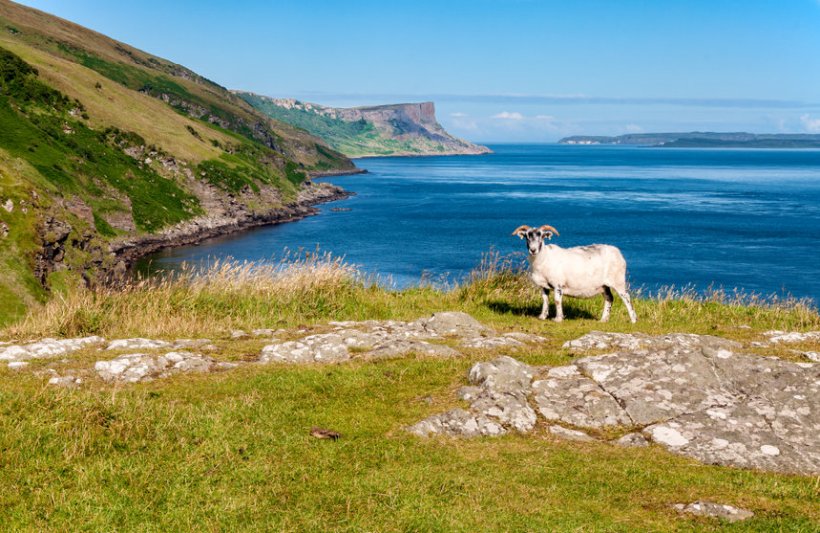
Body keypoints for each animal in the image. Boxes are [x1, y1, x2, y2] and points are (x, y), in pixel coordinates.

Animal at [512, 223, 640, 322]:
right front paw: (542, 316)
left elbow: (557, 301)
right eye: (527, 236)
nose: (533, 250)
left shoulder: (558, 284)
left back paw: (633, 320)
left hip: (618, 280)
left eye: (542, 236)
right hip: (603, 285)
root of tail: (617, 252)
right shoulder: (544, 285)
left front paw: (558, 319)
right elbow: (545, 300)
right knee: (609, 298)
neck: (544, 258)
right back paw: (603, 319)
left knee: (626, 297)